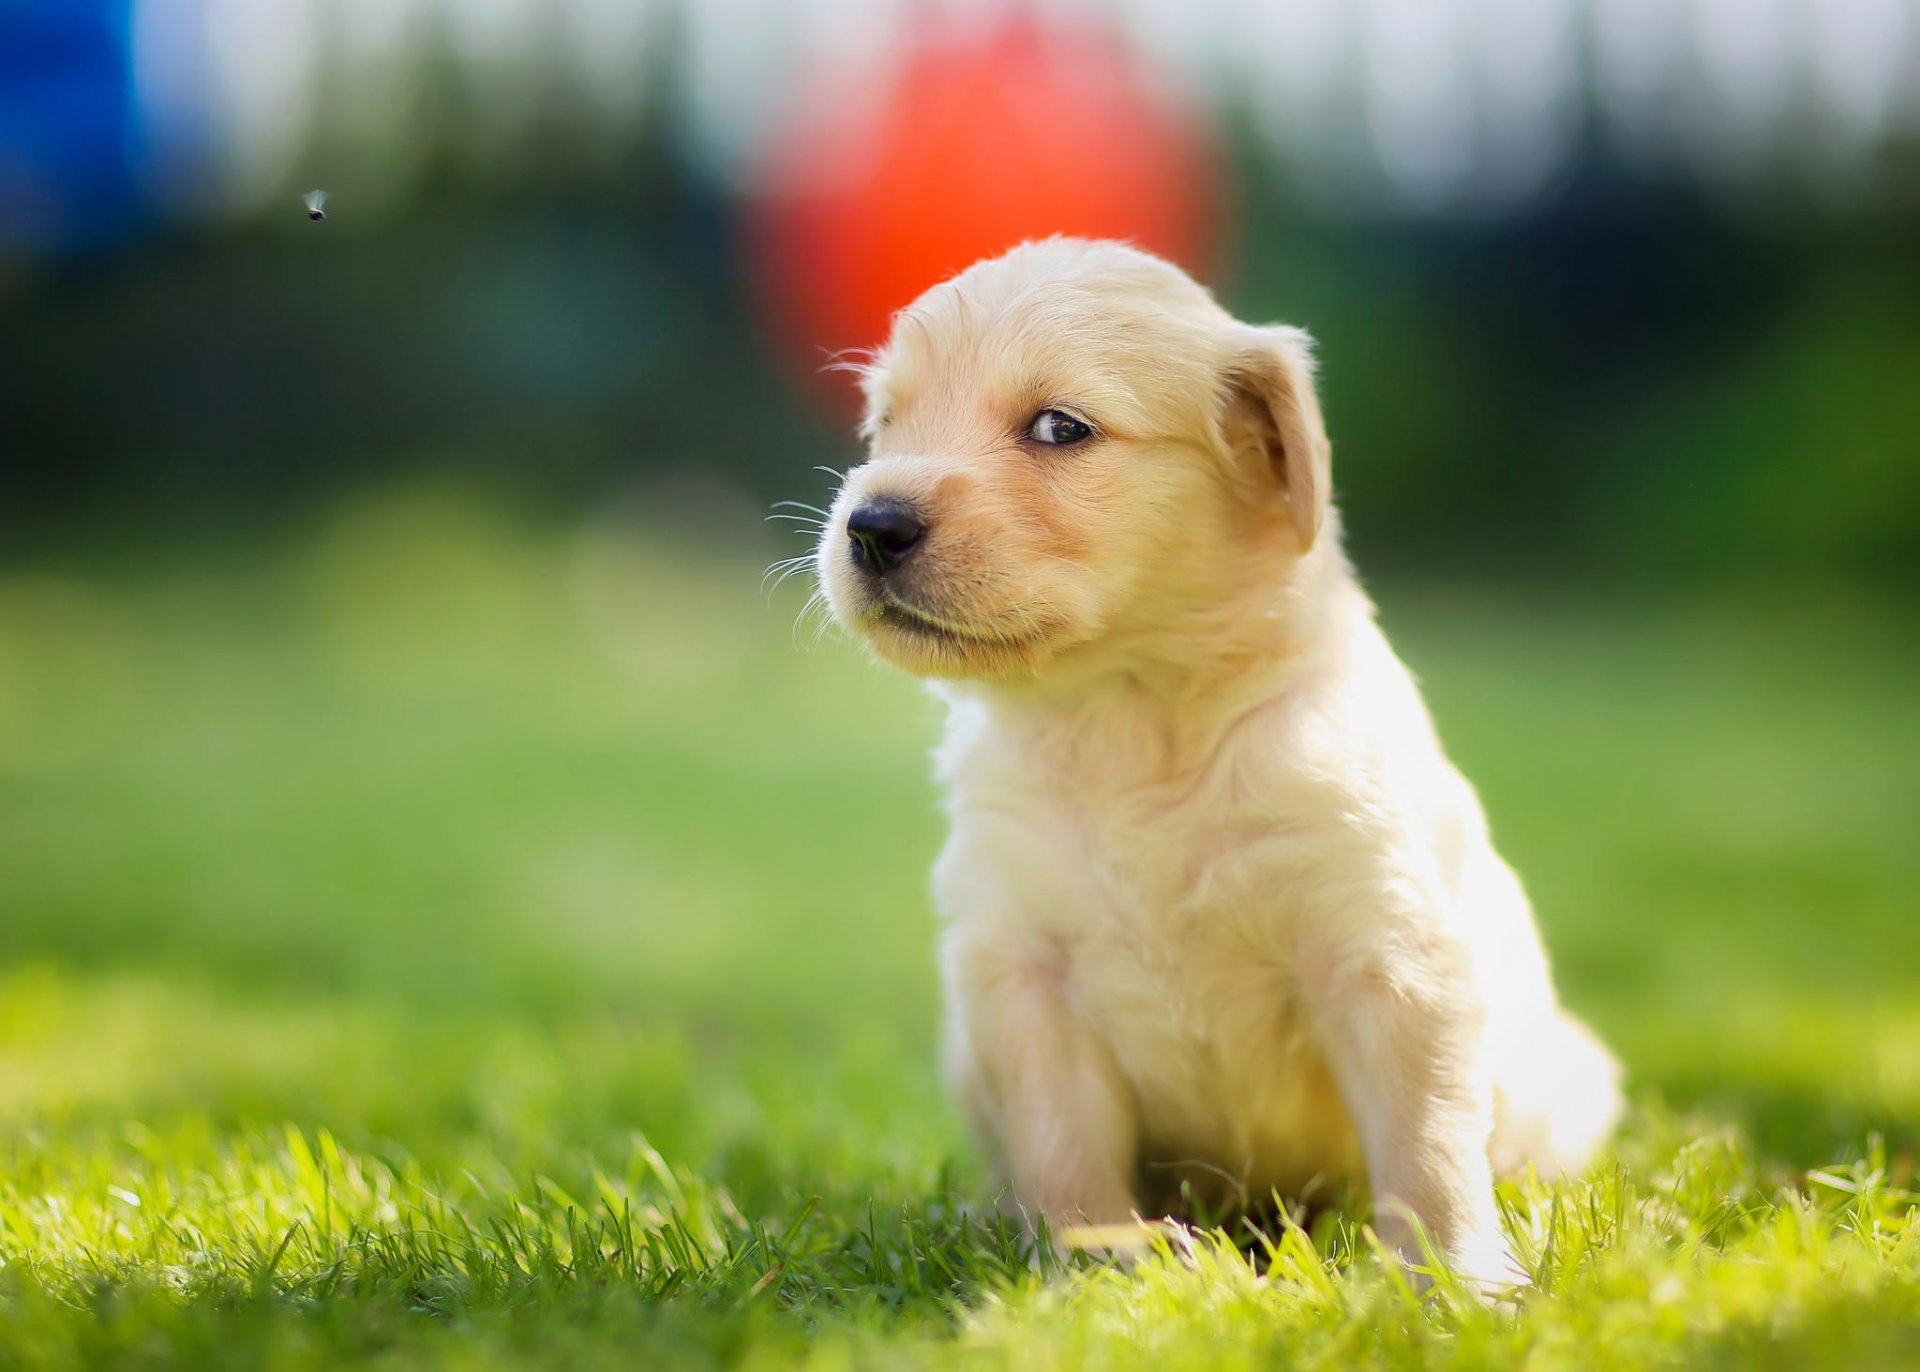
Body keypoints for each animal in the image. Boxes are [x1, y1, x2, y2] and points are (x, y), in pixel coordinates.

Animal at [806, 238, 1620, 1289]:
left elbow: (1428, 1145)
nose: (871, 525)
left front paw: (1457, 1280)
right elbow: (1062, 1141)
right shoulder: (1020, 967)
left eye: (1059, 427)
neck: (1130, 720)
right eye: (884, 423)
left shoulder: (1387, 955)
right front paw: (1101, 1263)